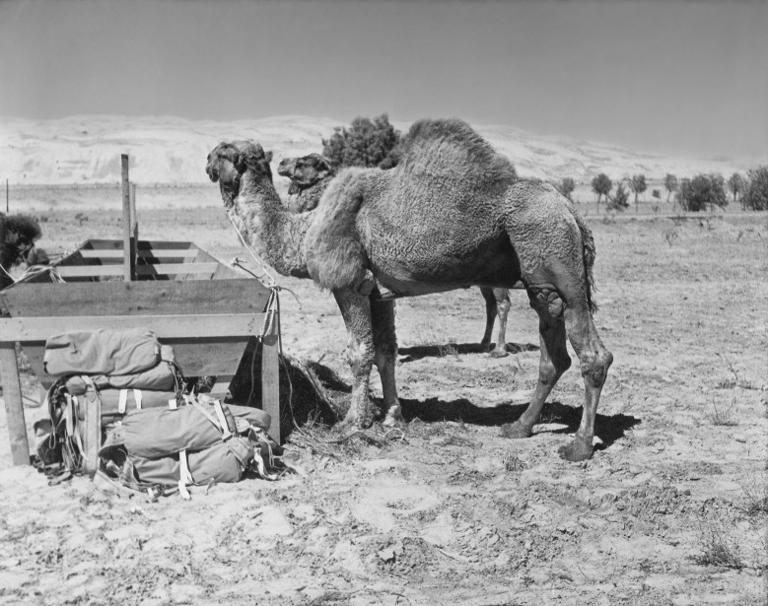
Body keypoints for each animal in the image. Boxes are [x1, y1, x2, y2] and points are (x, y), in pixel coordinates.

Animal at [278, 152, 514, 357]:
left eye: (304, 162)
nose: (281, 162)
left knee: (503, 303)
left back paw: (499, 350)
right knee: (490, 304)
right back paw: (483, 344)